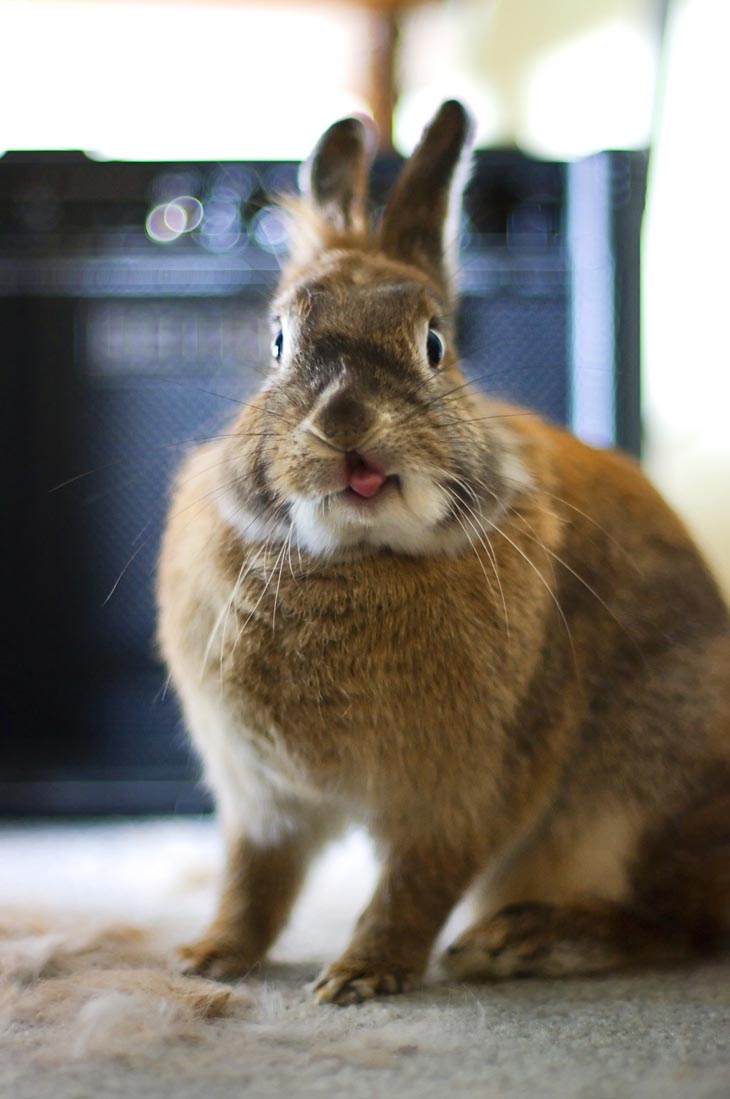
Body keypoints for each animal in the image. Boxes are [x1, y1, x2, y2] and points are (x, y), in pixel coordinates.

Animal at [158, 101, 729, 1006]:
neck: (353, 556)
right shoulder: (263, 802)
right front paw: (208, 957)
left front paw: (359, 977)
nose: (346, 422)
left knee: (684, 922)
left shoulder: (465, 796)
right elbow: (254, 883)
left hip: (646, 787)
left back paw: (523, 942)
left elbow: (412, 889)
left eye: (434, 343)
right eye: (278, 340)